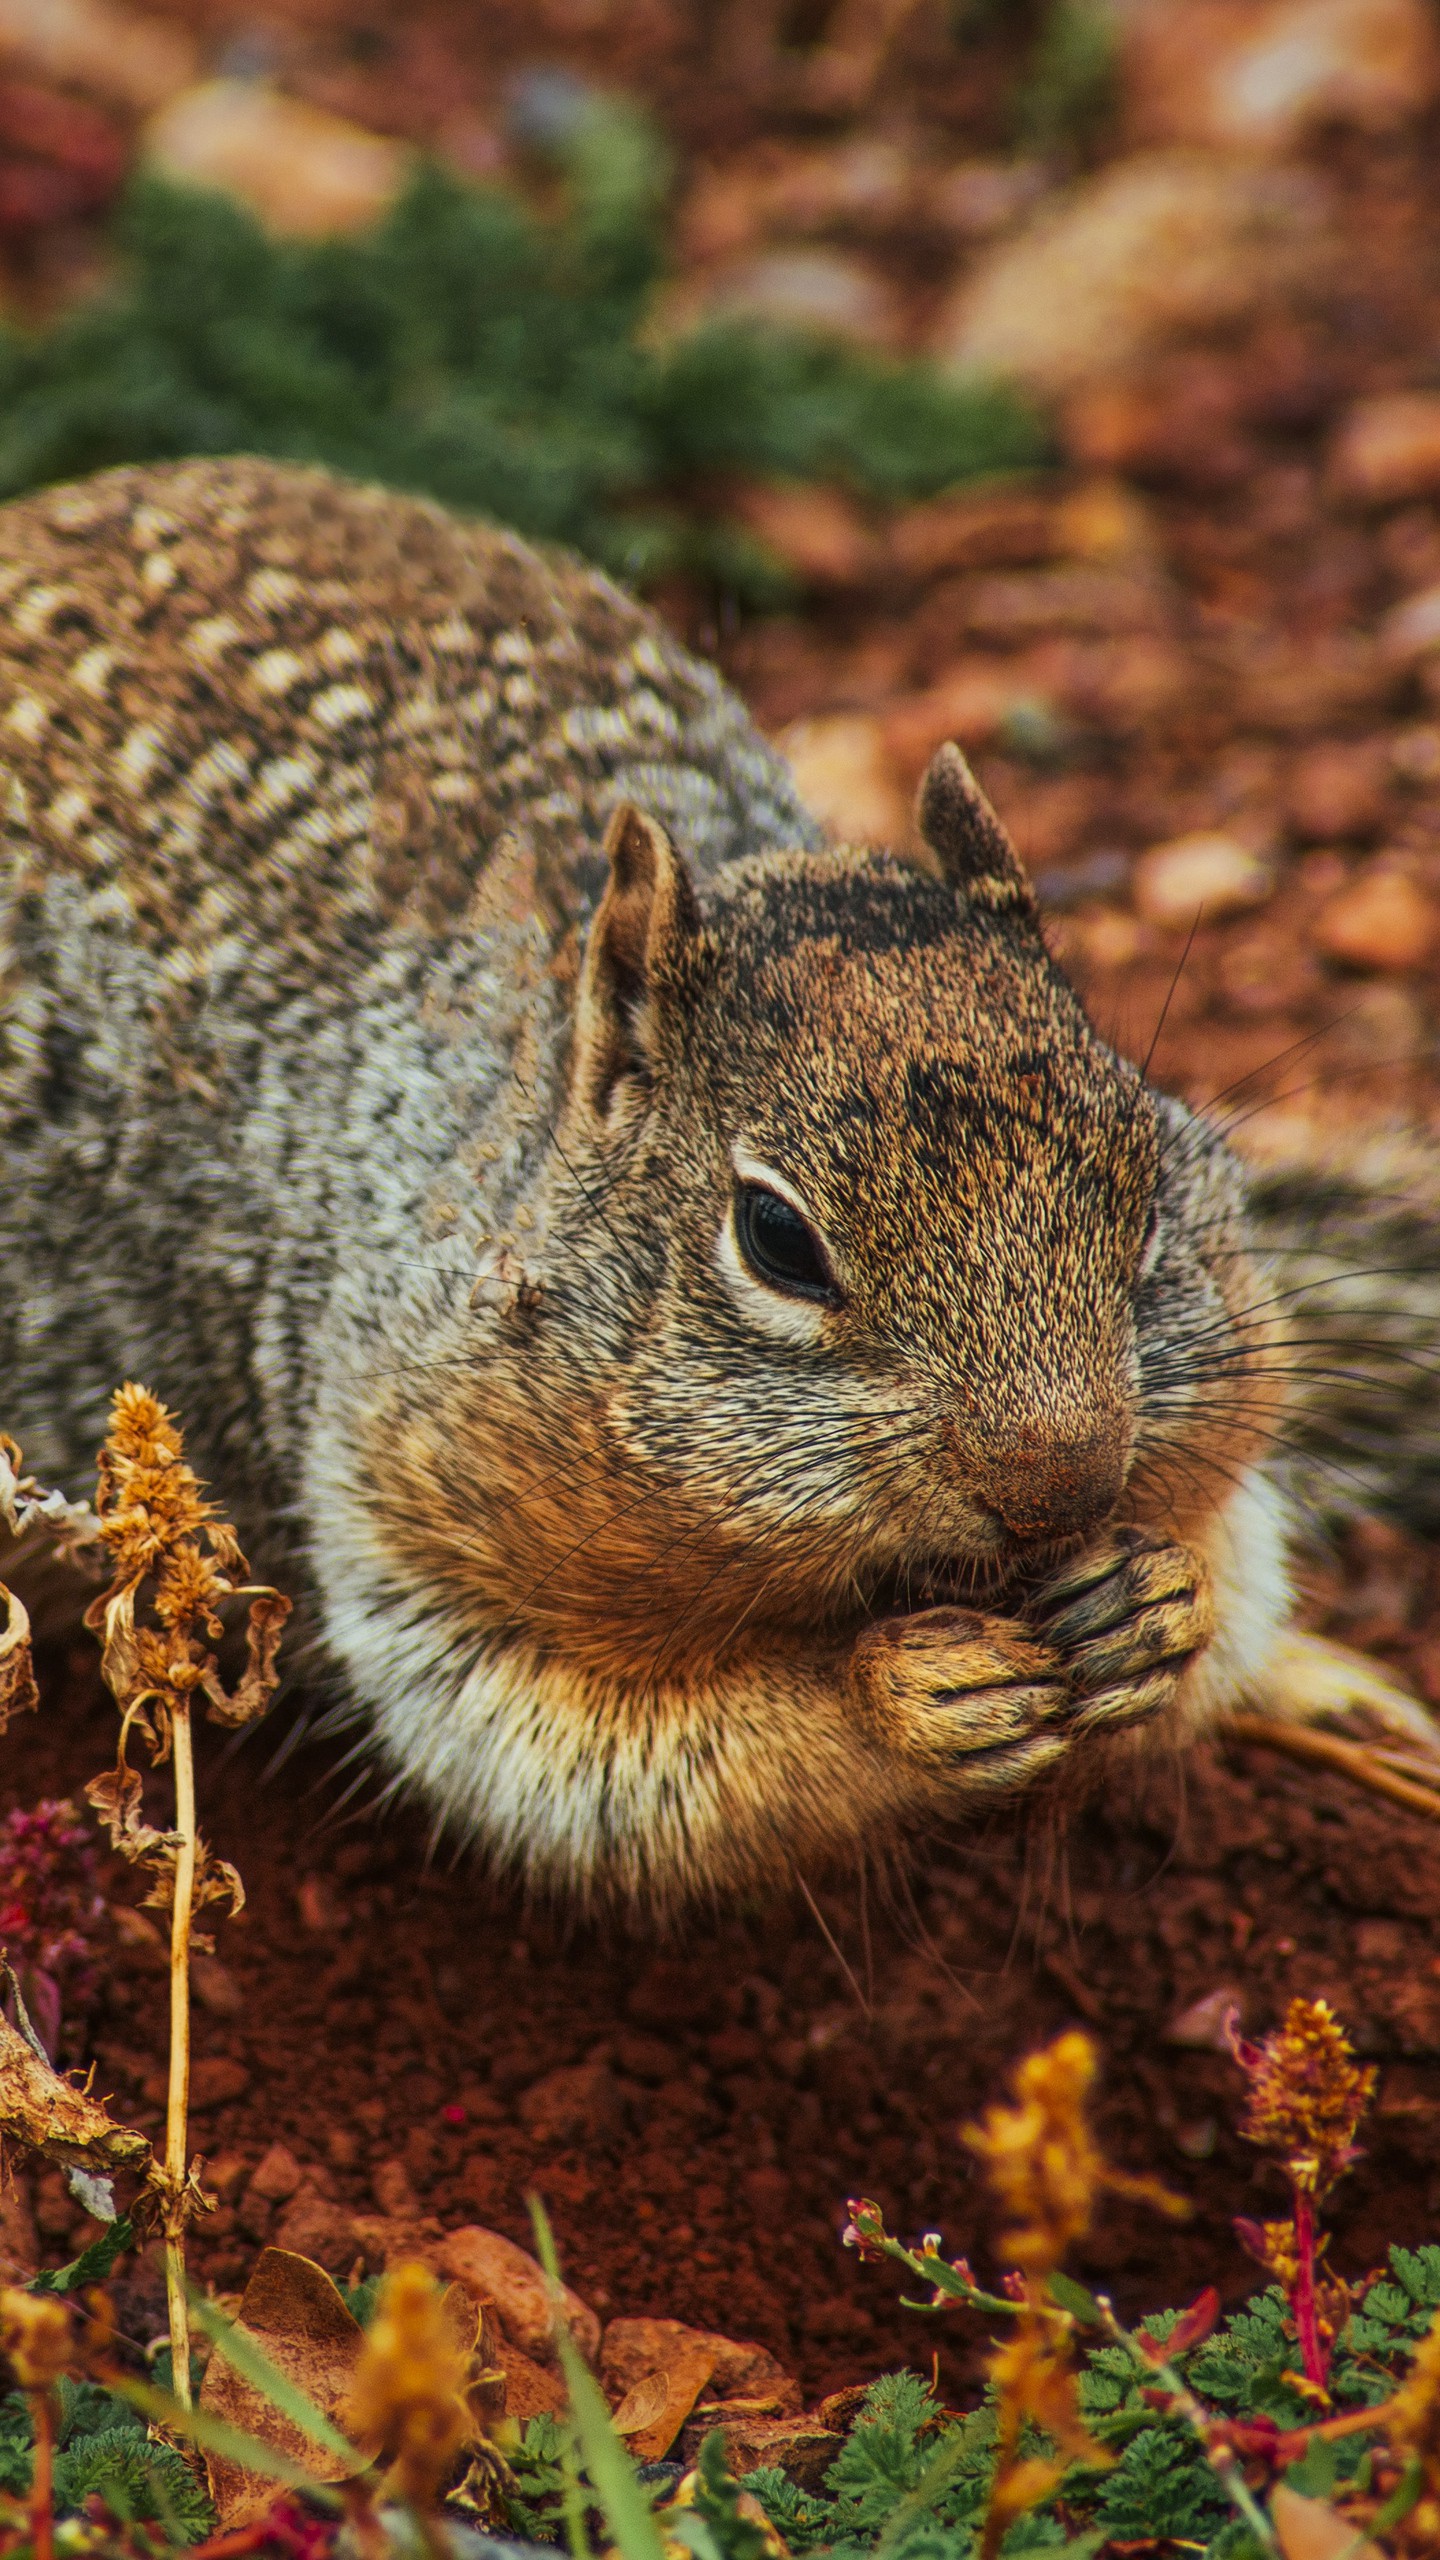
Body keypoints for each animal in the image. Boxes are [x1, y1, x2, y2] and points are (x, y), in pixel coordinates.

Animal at [0, 455, 1424, 1904]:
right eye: (776, 1238)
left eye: (1147, 1171)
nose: (1061, 1487)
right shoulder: (406, 1524)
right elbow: (598, 1752)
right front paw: (906, 1696)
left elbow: (1226, 1558)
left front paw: (1154, 1609)